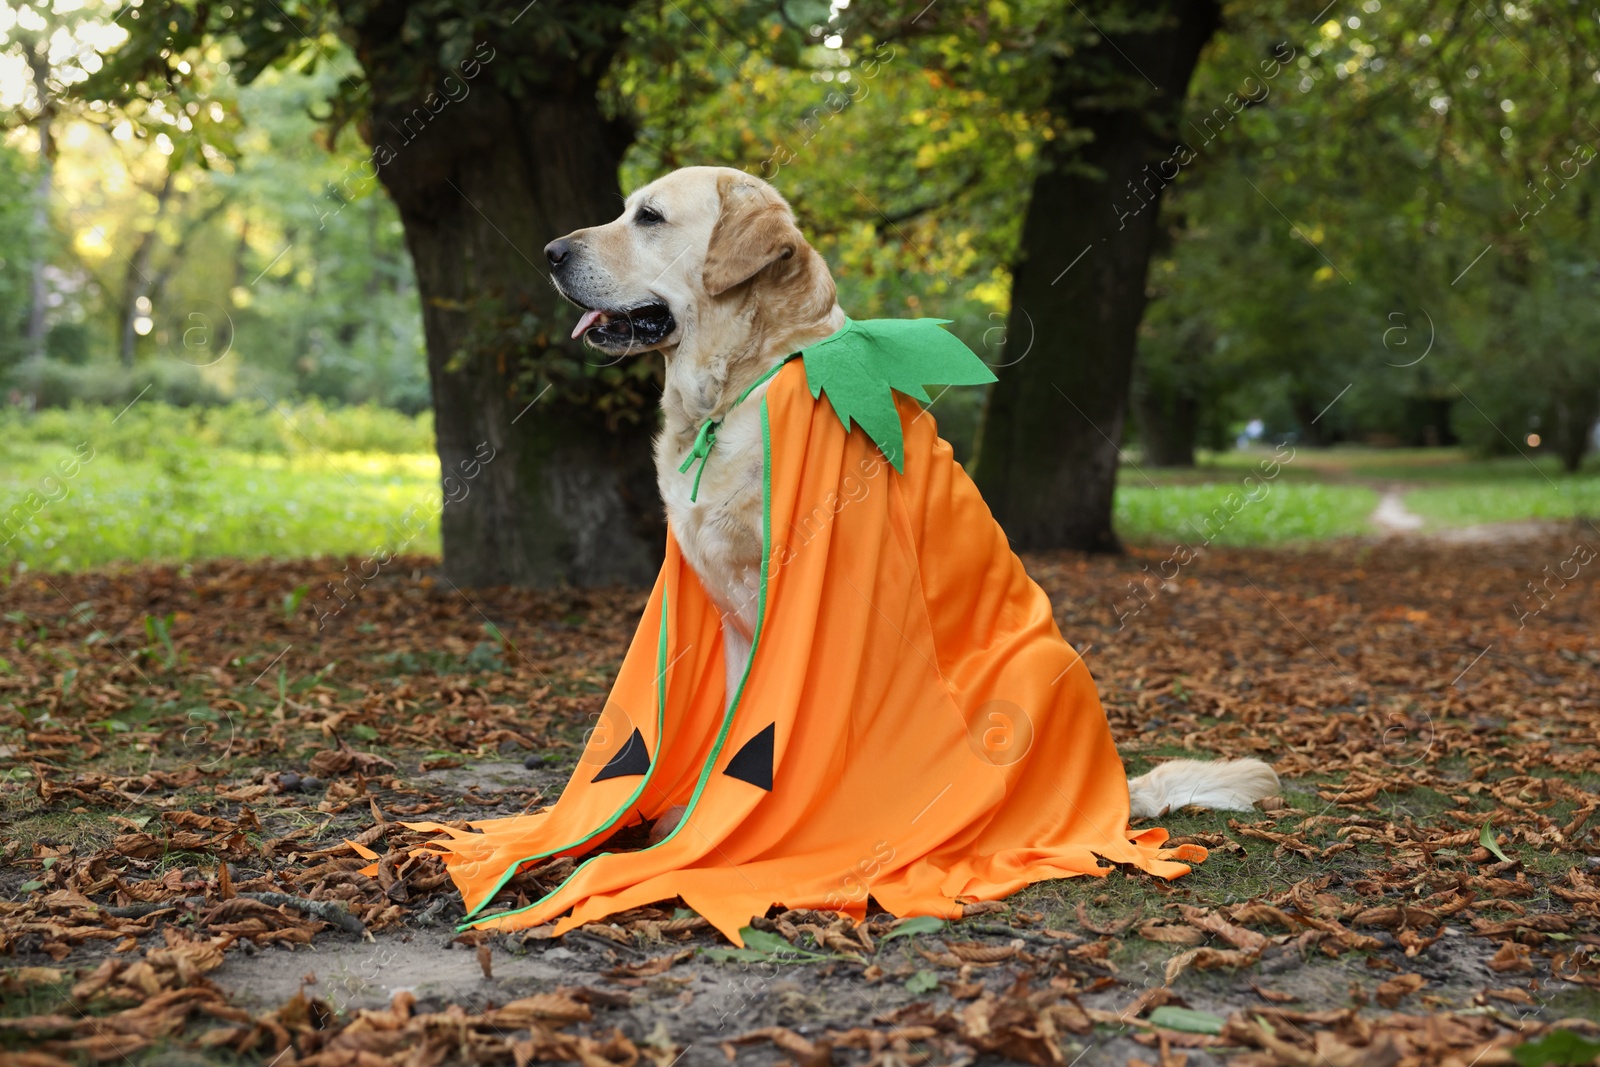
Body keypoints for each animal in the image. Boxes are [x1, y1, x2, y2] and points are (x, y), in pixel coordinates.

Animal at [544, 164, 1280, 819]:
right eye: (626, 208)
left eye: (649, 217)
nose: (551, 252)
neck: (738, 390)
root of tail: (1119, 794)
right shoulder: (729, 616)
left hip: (1036, 663)